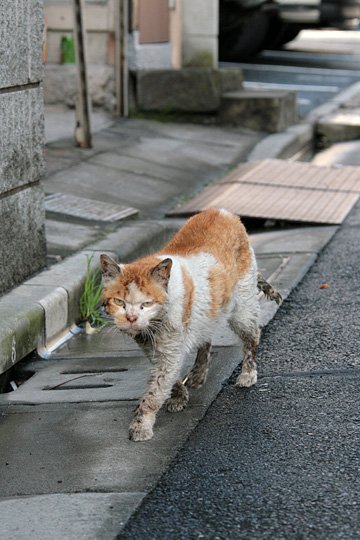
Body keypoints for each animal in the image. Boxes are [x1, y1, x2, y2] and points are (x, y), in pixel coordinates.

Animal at [100, 209, 280, 440]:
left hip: (243, 307)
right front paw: (179, 397)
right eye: (118, 302)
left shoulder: (170, 348)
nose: (131, 318)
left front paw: (141, 426)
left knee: (253, 336)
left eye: (147, 303)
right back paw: (198, 374)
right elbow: (168, 378)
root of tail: (225, 212)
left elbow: (155, 392)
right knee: (206, 338)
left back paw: (248, 374)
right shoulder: (155, 349)